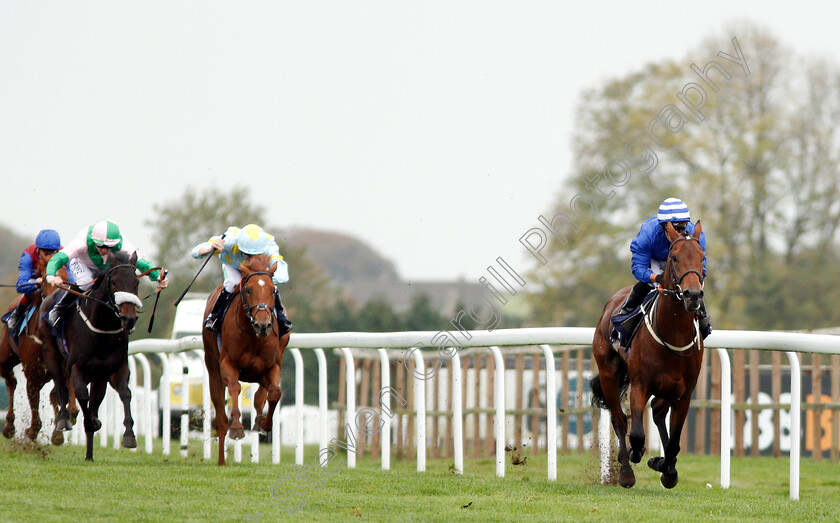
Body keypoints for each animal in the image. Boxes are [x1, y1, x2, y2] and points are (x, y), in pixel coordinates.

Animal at [0, 252, 78, 444]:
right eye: (44, 279)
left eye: (67, 280)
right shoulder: (33, 374)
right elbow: (34, 407)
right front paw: (31, 431)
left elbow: (70, 403)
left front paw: (63, 425)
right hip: (5, 358)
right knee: (11, 382)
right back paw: (9, 426)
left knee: (52, 395)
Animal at [40, 252, 152, 460]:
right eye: (114, 282)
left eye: (136, 283)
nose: (129, 318)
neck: (102, 328)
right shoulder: (76, 368)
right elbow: (81, 394)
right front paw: (91, 421)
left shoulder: (116, 369)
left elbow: (126, 393)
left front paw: (129, 436)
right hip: (51, 354)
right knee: (60, 386)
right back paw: (64, 420)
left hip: (99, 377)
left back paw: (89, 455)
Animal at [204, 254, 292, 466]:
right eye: (249, 289)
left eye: (273, 290)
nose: (263, 324)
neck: (253, 336)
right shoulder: (228, 364)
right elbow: (235, 387)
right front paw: (237, 427)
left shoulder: (272, 366)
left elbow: (275, 392)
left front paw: (265, 424)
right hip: (213, 370)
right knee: (220, 418)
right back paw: (221, 461)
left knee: (262, 392)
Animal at [592, 222, 704, 492]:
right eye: (674, 258)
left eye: (702, 257)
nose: (693, 295)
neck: (673, 335)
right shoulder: (640, 385)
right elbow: (636, 434)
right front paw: (636, 457)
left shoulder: (684, 393)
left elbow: (674, 442)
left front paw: (667, 470)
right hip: (609, 374)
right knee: (620, 420)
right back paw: (626, 469)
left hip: (666, 388)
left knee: (658, 411)